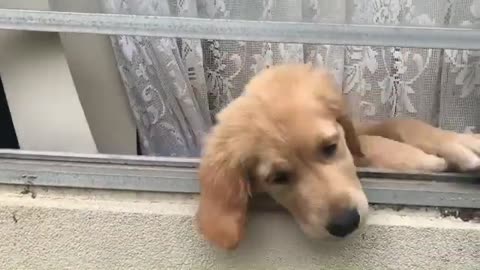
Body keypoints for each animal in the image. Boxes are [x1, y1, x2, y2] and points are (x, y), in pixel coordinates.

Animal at [194, 63, 480, 249]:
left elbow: (399, 123)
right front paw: (424, 159)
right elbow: (375, 144)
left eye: (330, 147)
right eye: (278, 177)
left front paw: (458, 141)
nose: (345, 224)